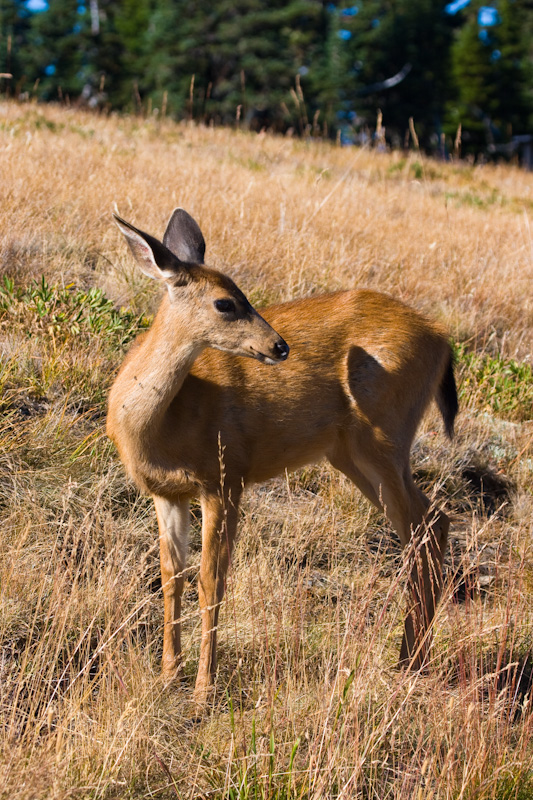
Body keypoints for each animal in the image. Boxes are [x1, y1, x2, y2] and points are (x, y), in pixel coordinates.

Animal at [107, 209, 458, 704]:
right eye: (224, 303)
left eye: (244, 294)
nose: (279, 346)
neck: (162, 424)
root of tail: (442, 338)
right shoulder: (167, 494)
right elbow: (171, 575)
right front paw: (167, 675)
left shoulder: (225, 479)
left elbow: (211, 580)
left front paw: (203, 689)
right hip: (351, 454)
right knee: (429, 525)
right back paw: (410, 659)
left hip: (383, 437)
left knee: (426, 526)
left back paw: (410, 661)